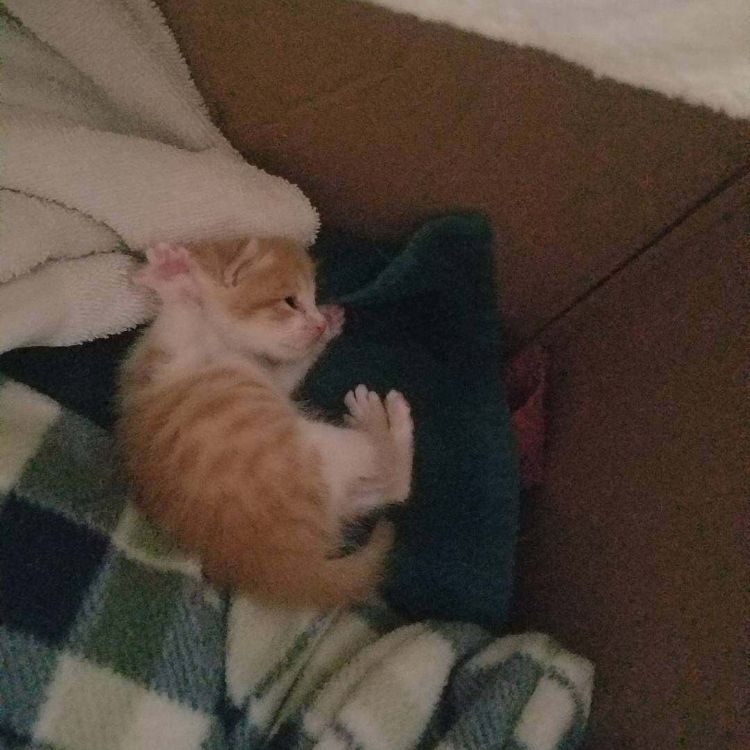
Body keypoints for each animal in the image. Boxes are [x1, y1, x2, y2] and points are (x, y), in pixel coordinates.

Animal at [117, 238, 414, 609]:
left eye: (313, 299)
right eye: (291, 301)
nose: (318, 323)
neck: (223, 339)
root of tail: (287, 567)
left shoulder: (271, 375)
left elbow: (290, 368)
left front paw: (328, 325)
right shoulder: (171, 354)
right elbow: (181, 313)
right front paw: (171, 275)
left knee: (394, 485)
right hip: (319, 450)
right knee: (388, 469)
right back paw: (381, 419)